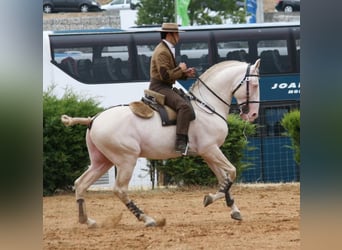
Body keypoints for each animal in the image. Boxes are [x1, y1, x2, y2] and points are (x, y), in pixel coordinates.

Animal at [61, 59, 260, 228]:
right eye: (255, 85)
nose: (253, 115)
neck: (207, 107)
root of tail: (93, 119)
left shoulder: (208, 153)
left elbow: (223, 178)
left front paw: (234, 210)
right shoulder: (211, 150)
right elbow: (231, 173)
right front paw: (210, 198)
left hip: (102, 161)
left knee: (81, 184)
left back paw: (87, 221)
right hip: (126, 160)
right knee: (120, 190)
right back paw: (147, 219)